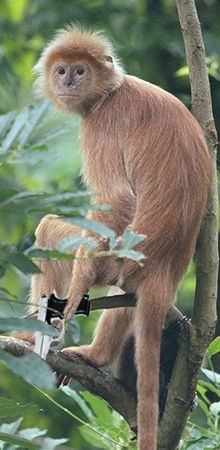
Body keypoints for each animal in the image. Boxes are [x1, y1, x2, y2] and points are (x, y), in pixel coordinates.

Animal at [15, 28, 213, 450]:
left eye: (79, 70)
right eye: (61, 70)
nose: (68, 82)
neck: (112, 91)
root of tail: (163, 266)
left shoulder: (101, 124)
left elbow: (117, 199)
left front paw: (71, 298)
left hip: (110, 259)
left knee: (50, 230)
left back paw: (56, 340)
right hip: (130, 268)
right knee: (129, 298)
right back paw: (96, 354)